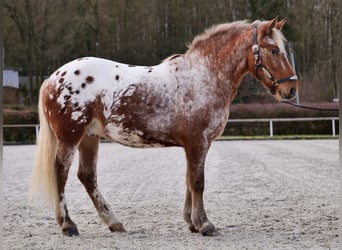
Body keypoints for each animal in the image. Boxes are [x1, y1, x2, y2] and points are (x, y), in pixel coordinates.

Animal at [30, 17, 298, 236]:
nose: (291, 89)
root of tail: (53, 77)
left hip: (89, 137)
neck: (202, 77)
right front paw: (205, 224)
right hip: (70, 137)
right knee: (61, 173)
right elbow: (198, 182)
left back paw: (114, 222)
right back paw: (68, 225)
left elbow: (189, 180)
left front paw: (191, 222)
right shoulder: (197, 143)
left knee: (87, 176)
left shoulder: (193, 146)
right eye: (273, 50)